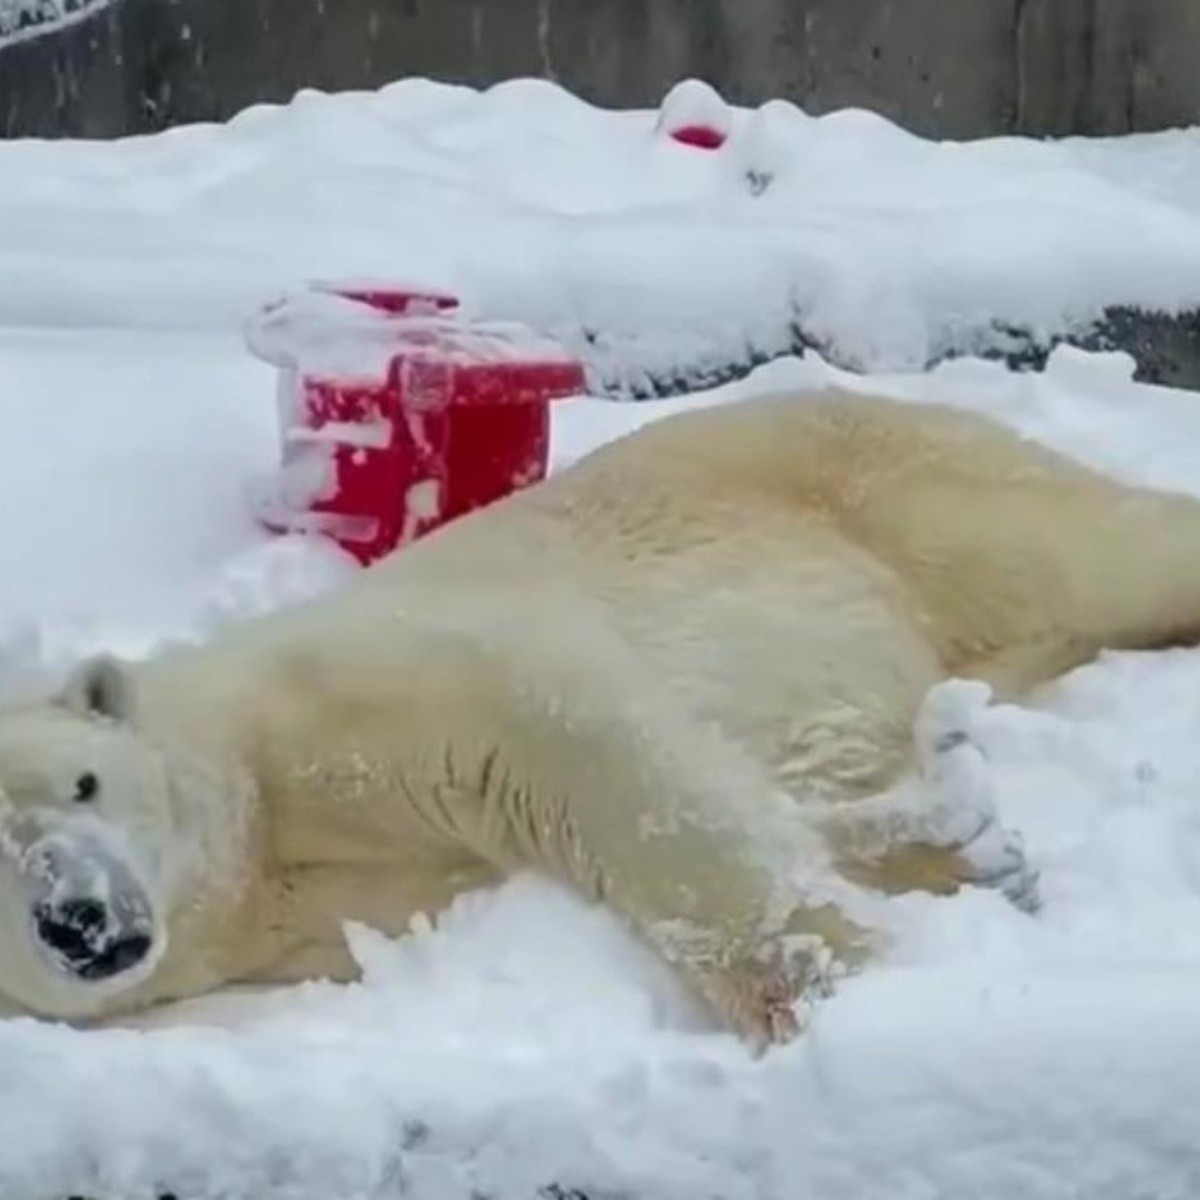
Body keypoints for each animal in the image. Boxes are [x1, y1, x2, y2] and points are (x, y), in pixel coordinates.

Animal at [2, 388, 1200, 1046]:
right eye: (4, 863)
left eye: (85, 782)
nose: (82, 922)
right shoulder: (302, 920)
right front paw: (964, 853)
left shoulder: (362, 690)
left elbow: (587, 757)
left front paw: (842, 986)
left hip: (888, 486)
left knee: (1088, 547)